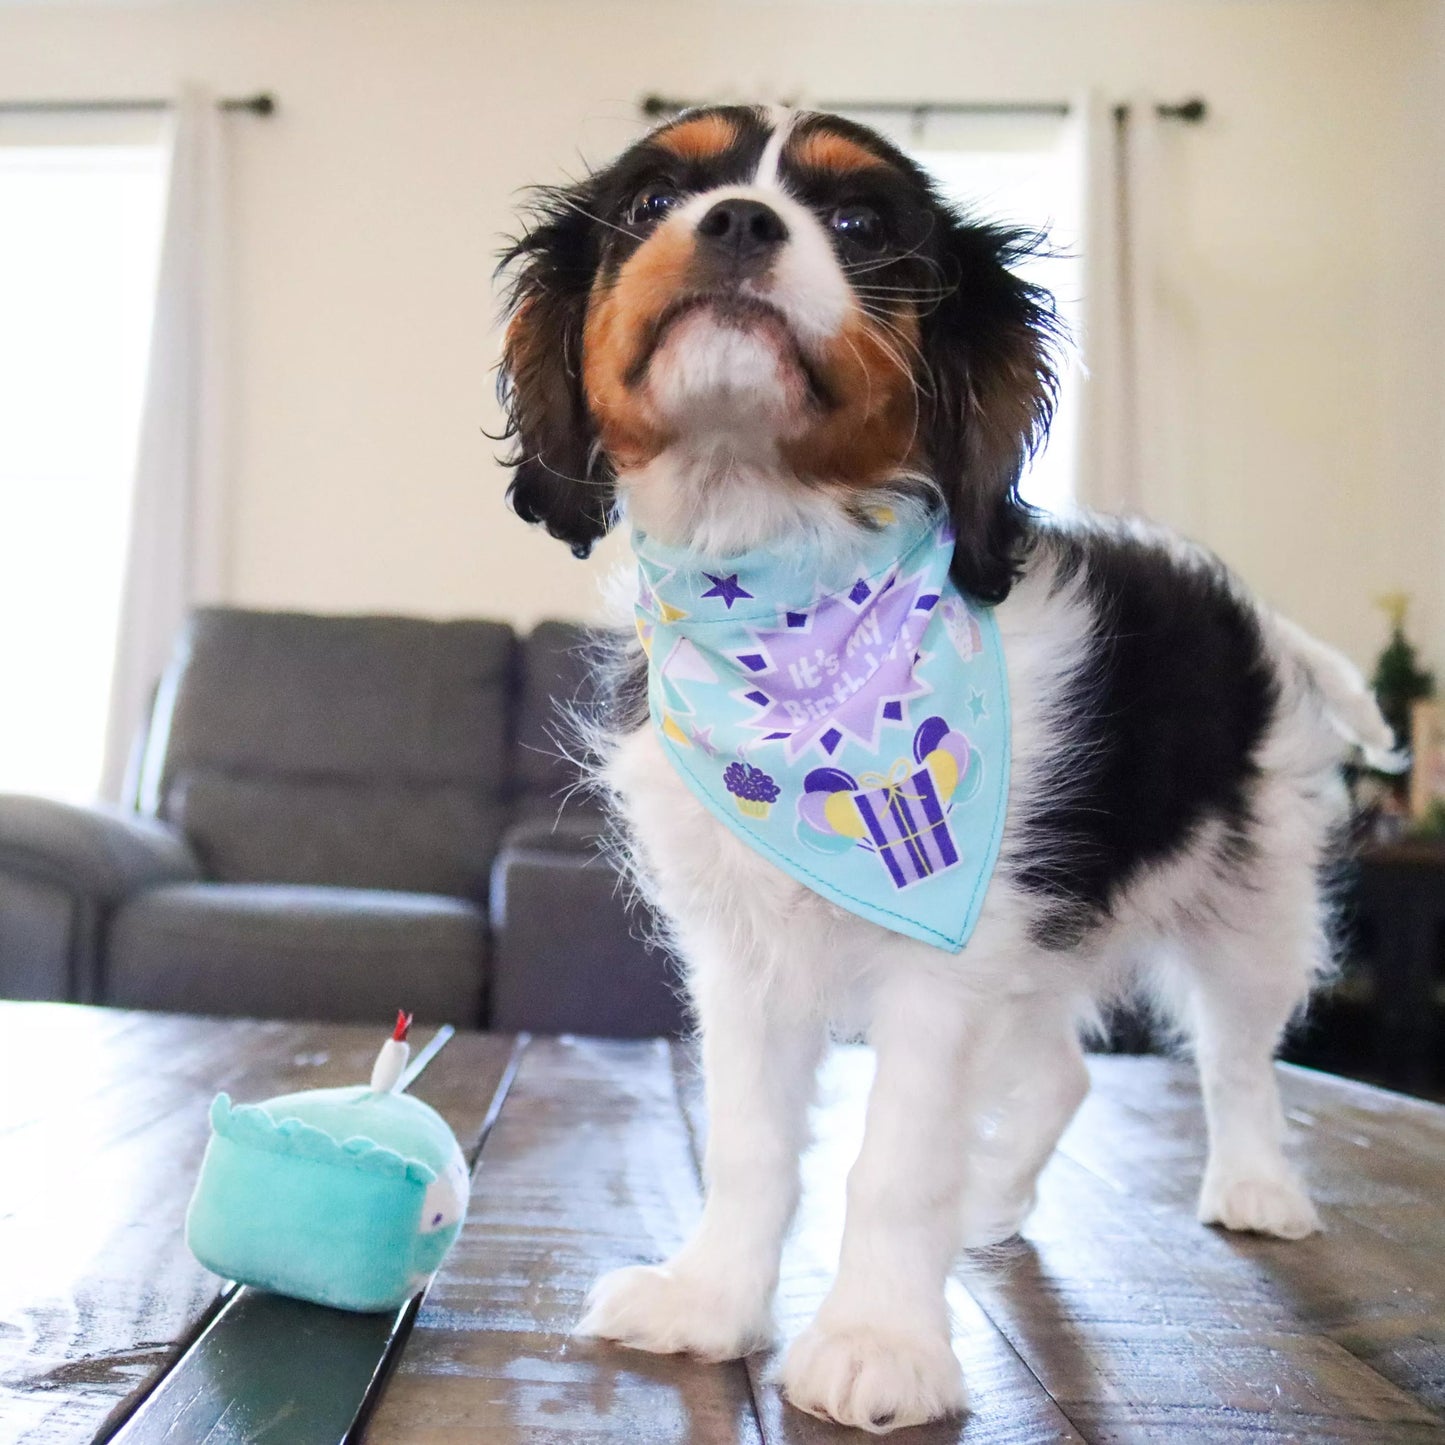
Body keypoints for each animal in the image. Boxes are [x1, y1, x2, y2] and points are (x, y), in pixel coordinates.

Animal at [494, 104, 1387, 1433]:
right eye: (652, 203)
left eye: (860, 221)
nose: (737, 222)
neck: (789, 584)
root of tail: (1247, 615)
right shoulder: (748, 955)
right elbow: (750, 1140)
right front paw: (710, 1301)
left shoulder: (942, 962)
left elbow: (894, 1158)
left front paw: (877, 1344)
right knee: (1061, 1075)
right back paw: (993, 1199)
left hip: (1248, 894)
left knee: (1236, 1053)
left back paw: (1256, 1185)